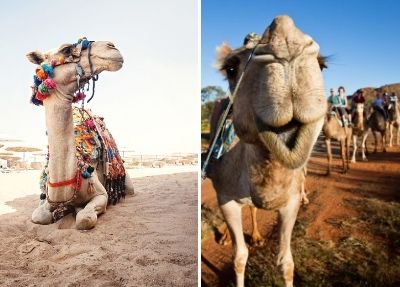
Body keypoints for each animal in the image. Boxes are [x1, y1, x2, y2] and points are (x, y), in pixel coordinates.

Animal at [27, 39, 136, 231]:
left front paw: (77, 210)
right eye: (66, 49)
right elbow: (39, 217)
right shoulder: (46, 198)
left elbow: (85, 218)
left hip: (127, 182)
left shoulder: (100, 194)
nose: (112, 46)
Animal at [211, 15, 326, 287]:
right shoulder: (225, 198)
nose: (286, 43)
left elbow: (286, 262)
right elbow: (239, 257)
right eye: (231, 68)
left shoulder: (289, 204)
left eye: (322, 65)